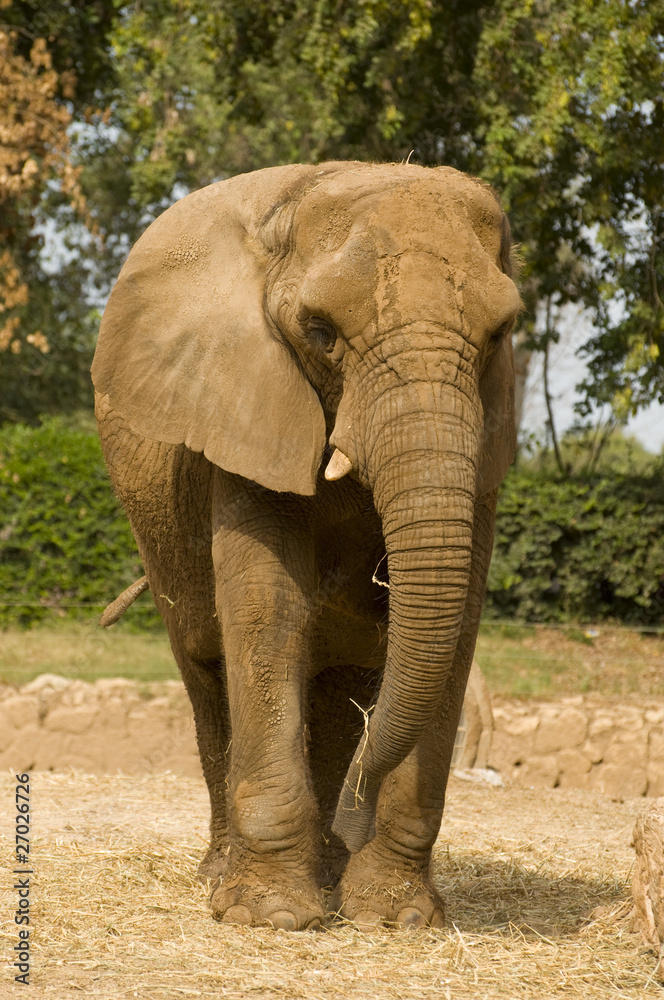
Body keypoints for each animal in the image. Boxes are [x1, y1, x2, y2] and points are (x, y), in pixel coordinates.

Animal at [92, 160, 520, 931]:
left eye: (502, 332)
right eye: (319, 333)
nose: (357, 810)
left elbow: (460, 618)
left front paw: (395, 919)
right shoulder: (243, 400)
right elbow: (268, 606)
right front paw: (269, 917)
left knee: (340, 682)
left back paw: (326, 872)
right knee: (205, 665)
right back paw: (226, 874)